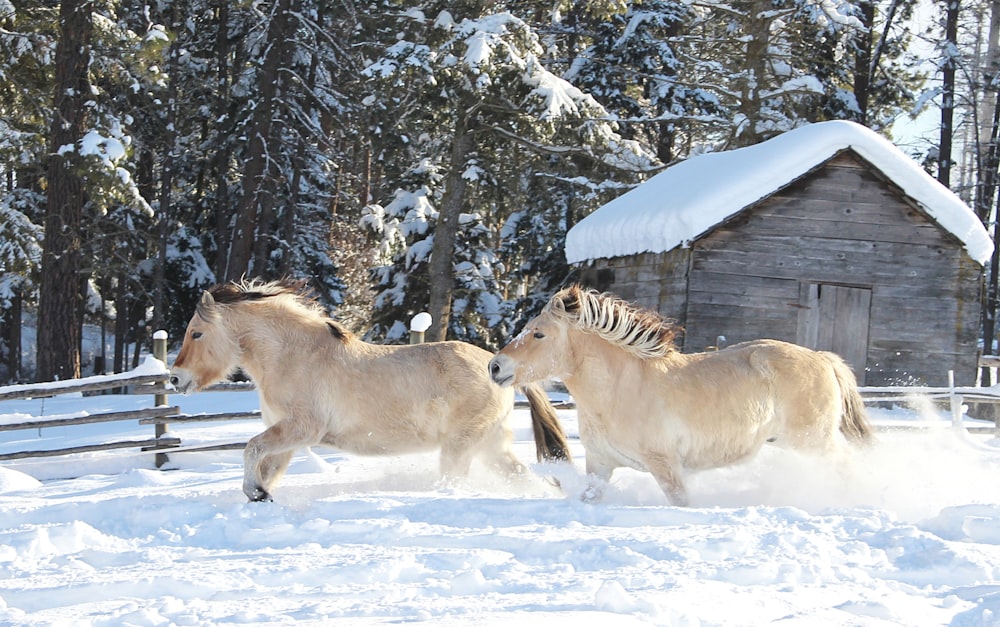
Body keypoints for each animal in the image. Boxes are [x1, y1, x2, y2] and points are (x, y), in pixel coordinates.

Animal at [172, 278, 572, 502]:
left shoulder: (301, 428)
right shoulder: (288, 436)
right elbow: (267, 467)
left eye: (196, 333)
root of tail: (497, 367)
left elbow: (251, 448)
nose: (176, 378)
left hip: (460, 448)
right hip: (490, 448)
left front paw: (254, 492)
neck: (292, 355)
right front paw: (259, 495)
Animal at [488, 284, 872, 506]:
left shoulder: (666, 467)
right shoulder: (600, 465)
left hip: (814, 441)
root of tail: (823, 358)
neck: (619, 391)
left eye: (538, 334)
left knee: (847, 466)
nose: (495, 366)